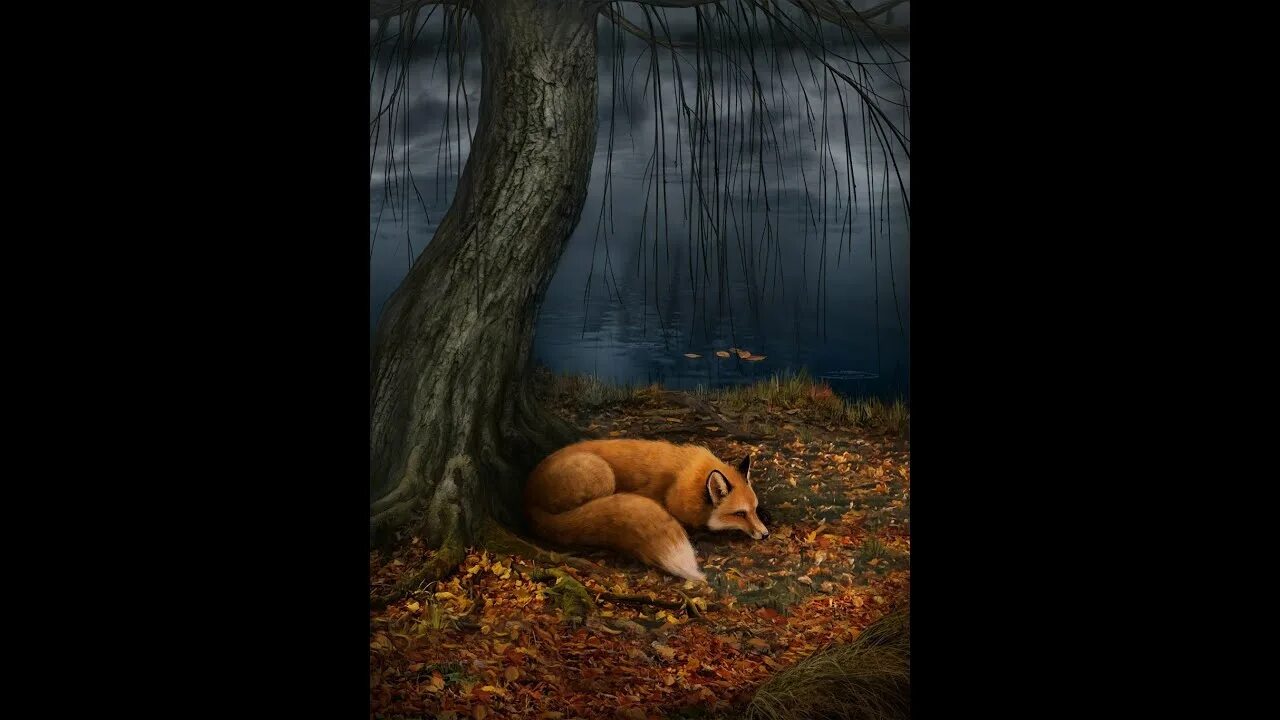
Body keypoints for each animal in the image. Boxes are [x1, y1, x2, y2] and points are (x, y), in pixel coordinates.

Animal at [522, 435, 768, 579]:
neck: (689, 477)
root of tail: (528, 497)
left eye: (754, 509)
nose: (765, 535)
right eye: (739, 514)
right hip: (604, 476)